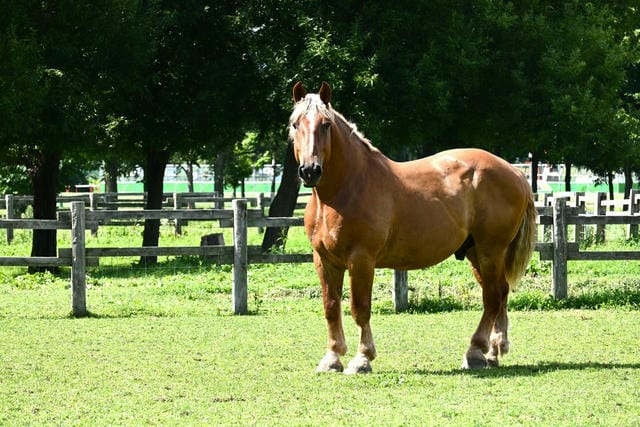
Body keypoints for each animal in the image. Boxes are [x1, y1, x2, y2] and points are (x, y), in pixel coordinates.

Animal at [290, 82, 536, 372]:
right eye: (295, 124)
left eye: (326, 124)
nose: (310, 170)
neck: (346, 189)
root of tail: (514, 171)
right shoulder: (325, 260)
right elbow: (330, 307)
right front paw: (332, 357)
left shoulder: (361, 260)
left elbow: (360, 308)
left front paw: (362, 359)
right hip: (476, 252)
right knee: (500, 293)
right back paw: (493, 353)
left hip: (491, 251)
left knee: (493, 297)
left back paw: (475, 352)